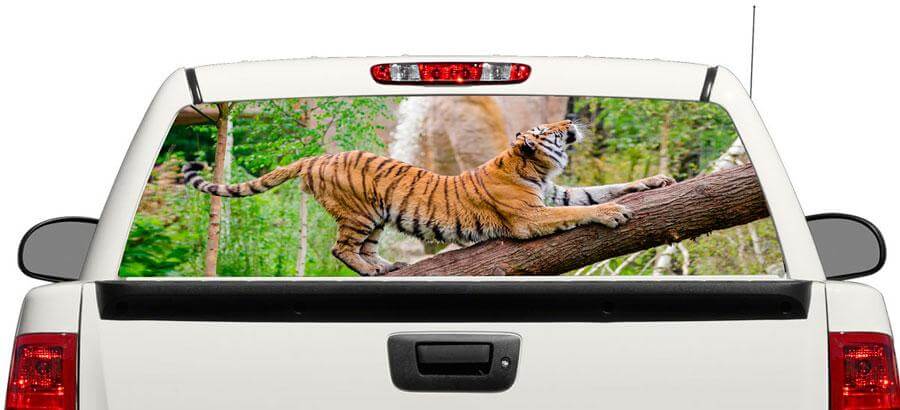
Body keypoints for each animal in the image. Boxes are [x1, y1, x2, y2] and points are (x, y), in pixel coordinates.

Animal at [182, 119, 675, 276]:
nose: (570, 121)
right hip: (359, 214)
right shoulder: (528, 218)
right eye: (551, 130)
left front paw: (655, 181)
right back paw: (370, 271)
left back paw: (386, 267)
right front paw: (614, 214)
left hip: (377, 218)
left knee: (364, 248)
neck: (535, 170)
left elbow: (597, 190)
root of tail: (316, 156)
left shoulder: (557, 192)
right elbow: (586, 207)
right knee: (340, 248)